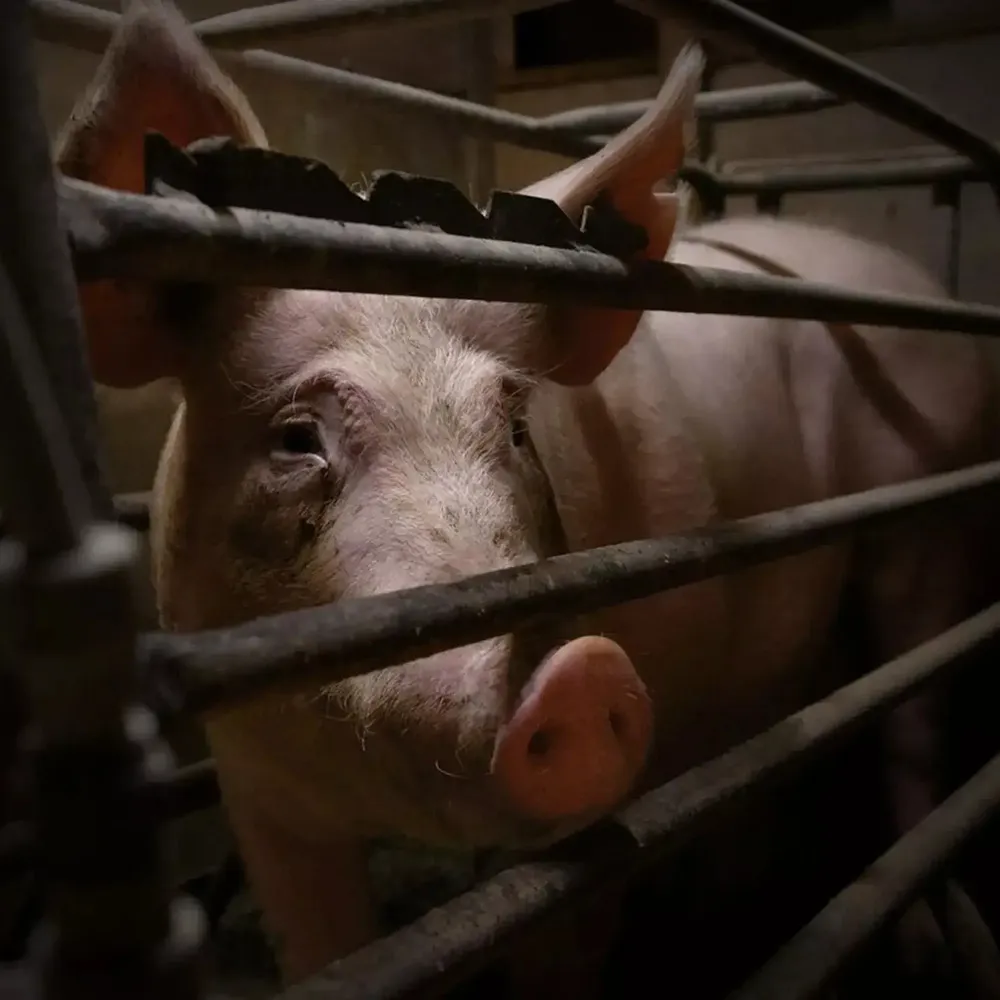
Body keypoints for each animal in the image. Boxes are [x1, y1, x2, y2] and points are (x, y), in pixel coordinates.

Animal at [55, 0, 1000, 989]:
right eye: (296, 439)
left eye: (513, 425)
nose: (575, 672)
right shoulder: (261, 797)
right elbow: (323, 949)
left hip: (936, 521)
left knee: (914, 733)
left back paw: (935, 950)